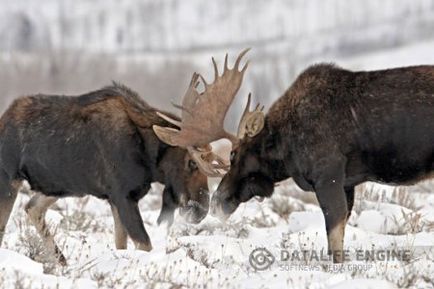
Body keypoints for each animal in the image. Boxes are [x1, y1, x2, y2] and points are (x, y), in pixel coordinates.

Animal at [0, 81, 227, 264]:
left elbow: (121, 244)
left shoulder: (115, 199)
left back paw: (61, 262)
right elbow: (144, 244)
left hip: (62, 187)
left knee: (32, 207)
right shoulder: (122, 196)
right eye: (192, 162)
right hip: (10, 180)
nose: (201, 209)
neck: (148, 158)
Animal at [154, 49, 432, 260]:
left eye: (233, 154)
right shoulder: (348, 184)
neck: (285, 148)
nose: (217, 201)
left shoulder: (328, 177)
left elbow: (334, 241)